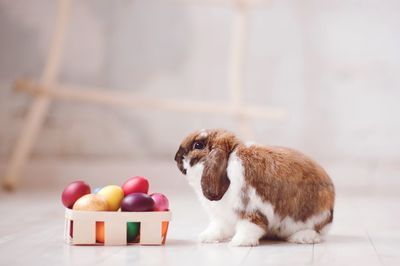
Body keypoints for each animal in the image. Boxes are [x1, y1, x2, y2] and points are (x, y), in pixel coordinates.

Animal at [175, 129, 334, 247]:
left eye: (198, 145)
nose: (176, 157)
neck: (229, 160)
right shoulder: (222, 217)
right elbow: (218, 228)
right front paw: (205, 237)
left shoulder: (251, 210)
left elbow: (249, 227)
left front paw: (239, 243)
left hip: (313, 218)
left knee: (317, 233)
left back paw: (302, 237)